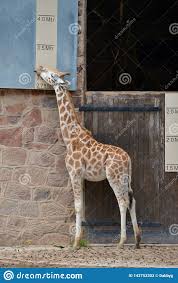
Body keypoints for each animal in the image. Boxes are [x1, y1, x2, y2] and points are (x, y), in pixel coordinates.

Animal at [34, 66, 140, 248]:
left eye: (52, 74)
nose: (39, 69)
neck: (70, 137)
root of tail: (128, 159)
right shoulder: (81, 176)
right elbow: (80, 206)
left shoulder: (74, 173)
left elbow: (77, 207)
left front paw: (76, 243)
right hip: (126, 178)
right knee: (131, 200)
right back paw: (138, 241)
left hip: (115, 177)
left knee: (122, 202)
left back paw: (121, 242)